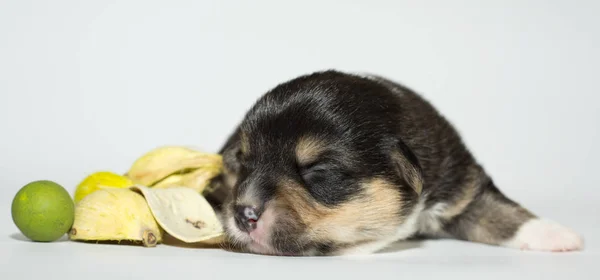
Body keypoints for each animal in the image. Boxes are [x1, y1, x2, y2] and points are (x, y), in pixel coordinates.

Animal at [204, 70, 584, 256]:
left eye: (318, 171)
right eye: (243, 163)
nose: (243, 214)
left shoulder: (460, 185)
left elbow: (501, 212)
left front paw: (556, 234)